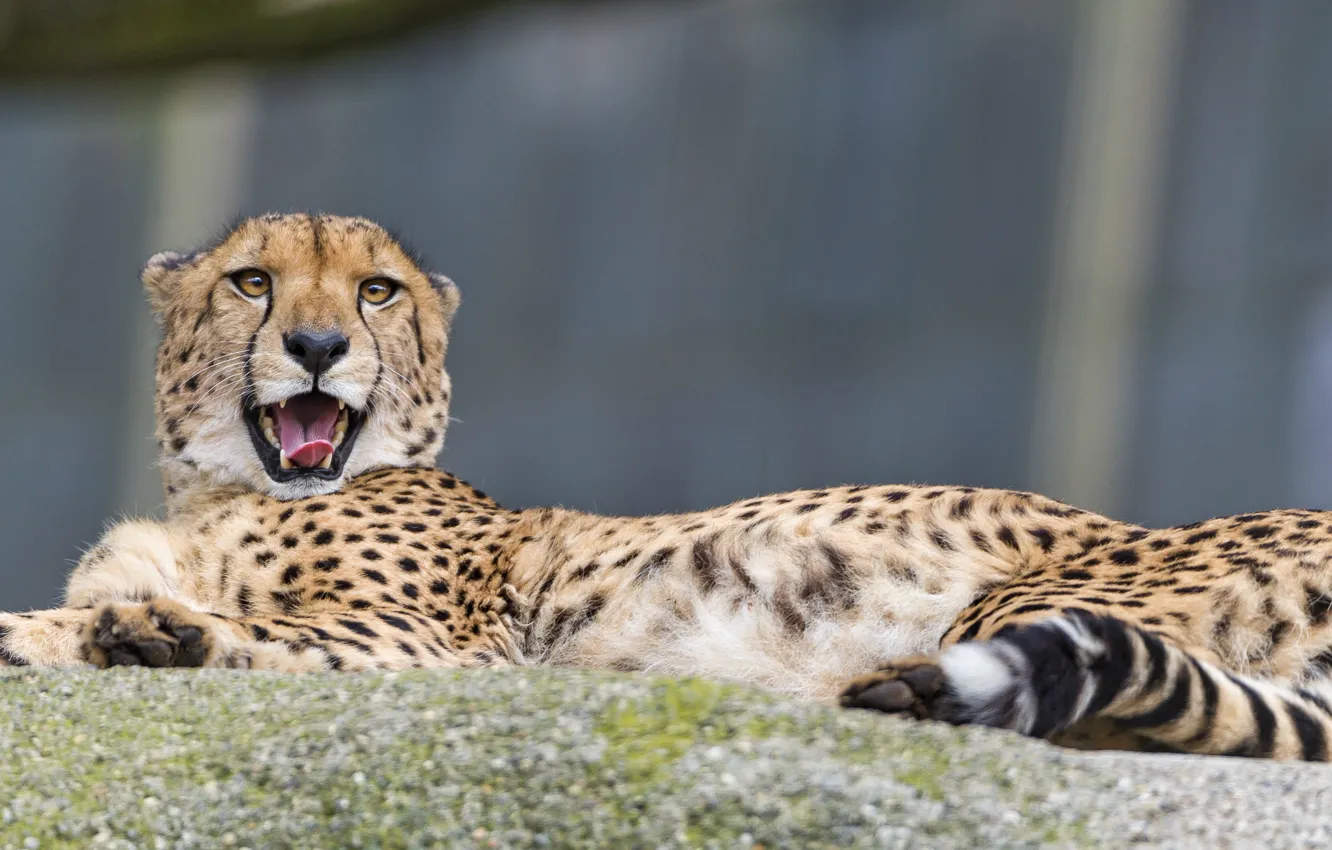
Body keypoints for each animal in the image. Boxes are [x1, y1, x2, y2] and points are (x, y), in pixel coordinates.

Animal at [4, 212, 1332, 762]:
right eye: (251, 280)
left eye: (377, 290)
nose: (321, 345)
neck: (226, 491)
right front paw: (128, 626)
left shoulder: (443, 648)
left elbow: (233, 632)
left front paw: (128, 632)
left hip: (1025, 601)